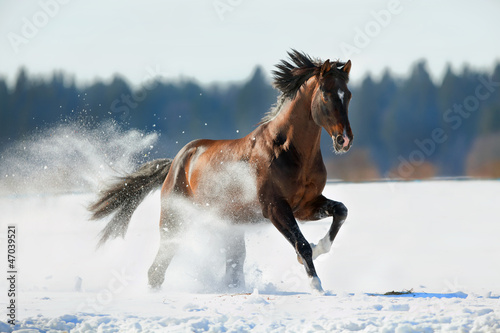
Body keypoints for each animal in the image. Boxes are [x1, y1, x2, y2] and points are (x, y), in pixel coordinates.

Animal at [91, 48, 356, 292]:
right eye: (326, 94)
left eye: (349, 95)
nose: (344, 140)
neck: (287, 150)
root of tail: (176, 162)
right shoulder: (275, 208)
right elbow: (301, 243)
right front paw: (316, 284)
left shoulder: (305, 205)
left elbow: (341, 211)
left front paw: (319, 249)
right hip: (175, 221)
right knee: (157, 269)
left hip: (230, 226)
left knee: (232, 265)